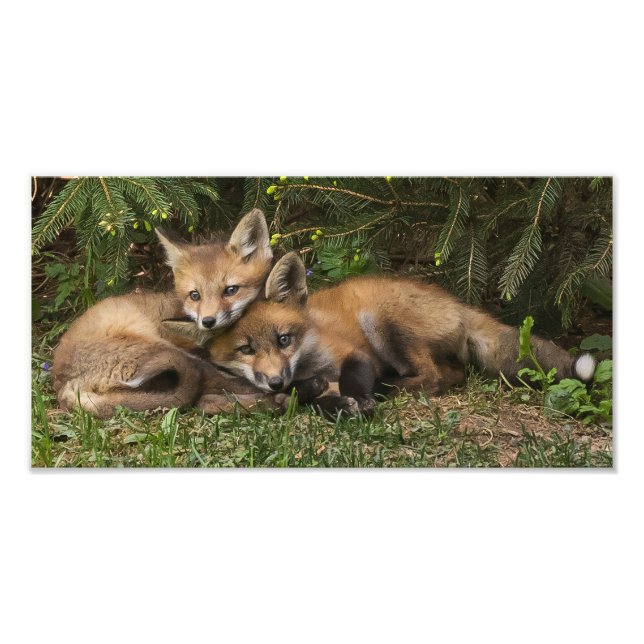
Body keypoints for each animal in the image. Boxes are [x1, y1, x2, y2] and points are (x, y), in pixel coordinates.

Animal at [52, 208, 283, 418]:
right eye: (195, 295)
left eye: (231, 290)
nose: (207, 321)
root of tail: (62, 383)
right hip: (165, 352)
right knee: (207, 389)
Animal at [205, 252, 597, 415]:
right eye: (245, 349)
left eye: (283, 339)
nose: (275, 381)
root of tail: (458, 303)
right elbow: (307, 400)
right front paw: (335, 405)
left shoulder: (352, 354)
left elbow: (351, 380)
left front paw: (358, 400)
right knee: (453, 374)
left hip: (383, 324)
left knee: (433, 378)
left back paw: (386, 388)